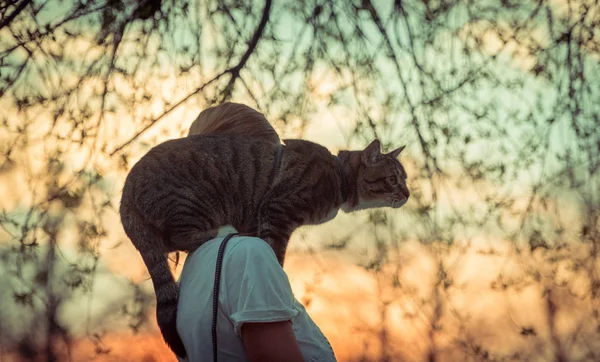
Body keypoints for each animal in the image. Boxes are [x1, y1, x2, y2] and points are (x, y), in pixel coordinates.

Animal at [118, 134, 408, 358]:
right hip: (188, 201)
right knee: (181, 236)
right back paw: (219, 230)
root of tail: (126, 196)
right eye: (393, 179)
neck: (339, 176)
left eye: (404, 178)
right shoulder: (278, 210)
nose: (407, 193)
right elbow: (274, 251)